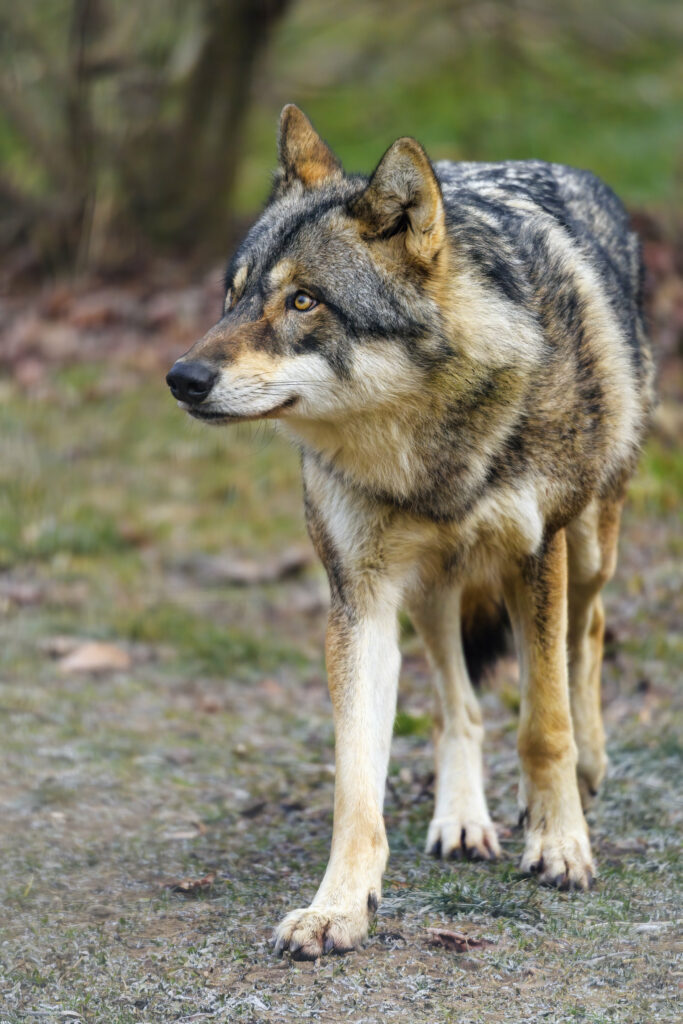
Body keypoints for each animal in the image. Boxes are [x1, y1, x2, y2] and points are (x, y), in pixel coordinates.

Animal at [166, 105, 654, 959]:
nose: (181, 378)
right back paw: (461, 819)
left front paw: (560, 845)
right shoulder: (358, 601)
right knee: (460, 704)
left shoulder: (537, 555)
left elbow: (543, 723)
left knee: (586, 636)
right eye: (232, 297)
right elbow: (356, 782)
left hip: (589, 545)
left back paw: (587, 772)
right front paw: (337, 906)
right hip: (431, 589)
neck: (425, 445)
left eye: (303, 302)